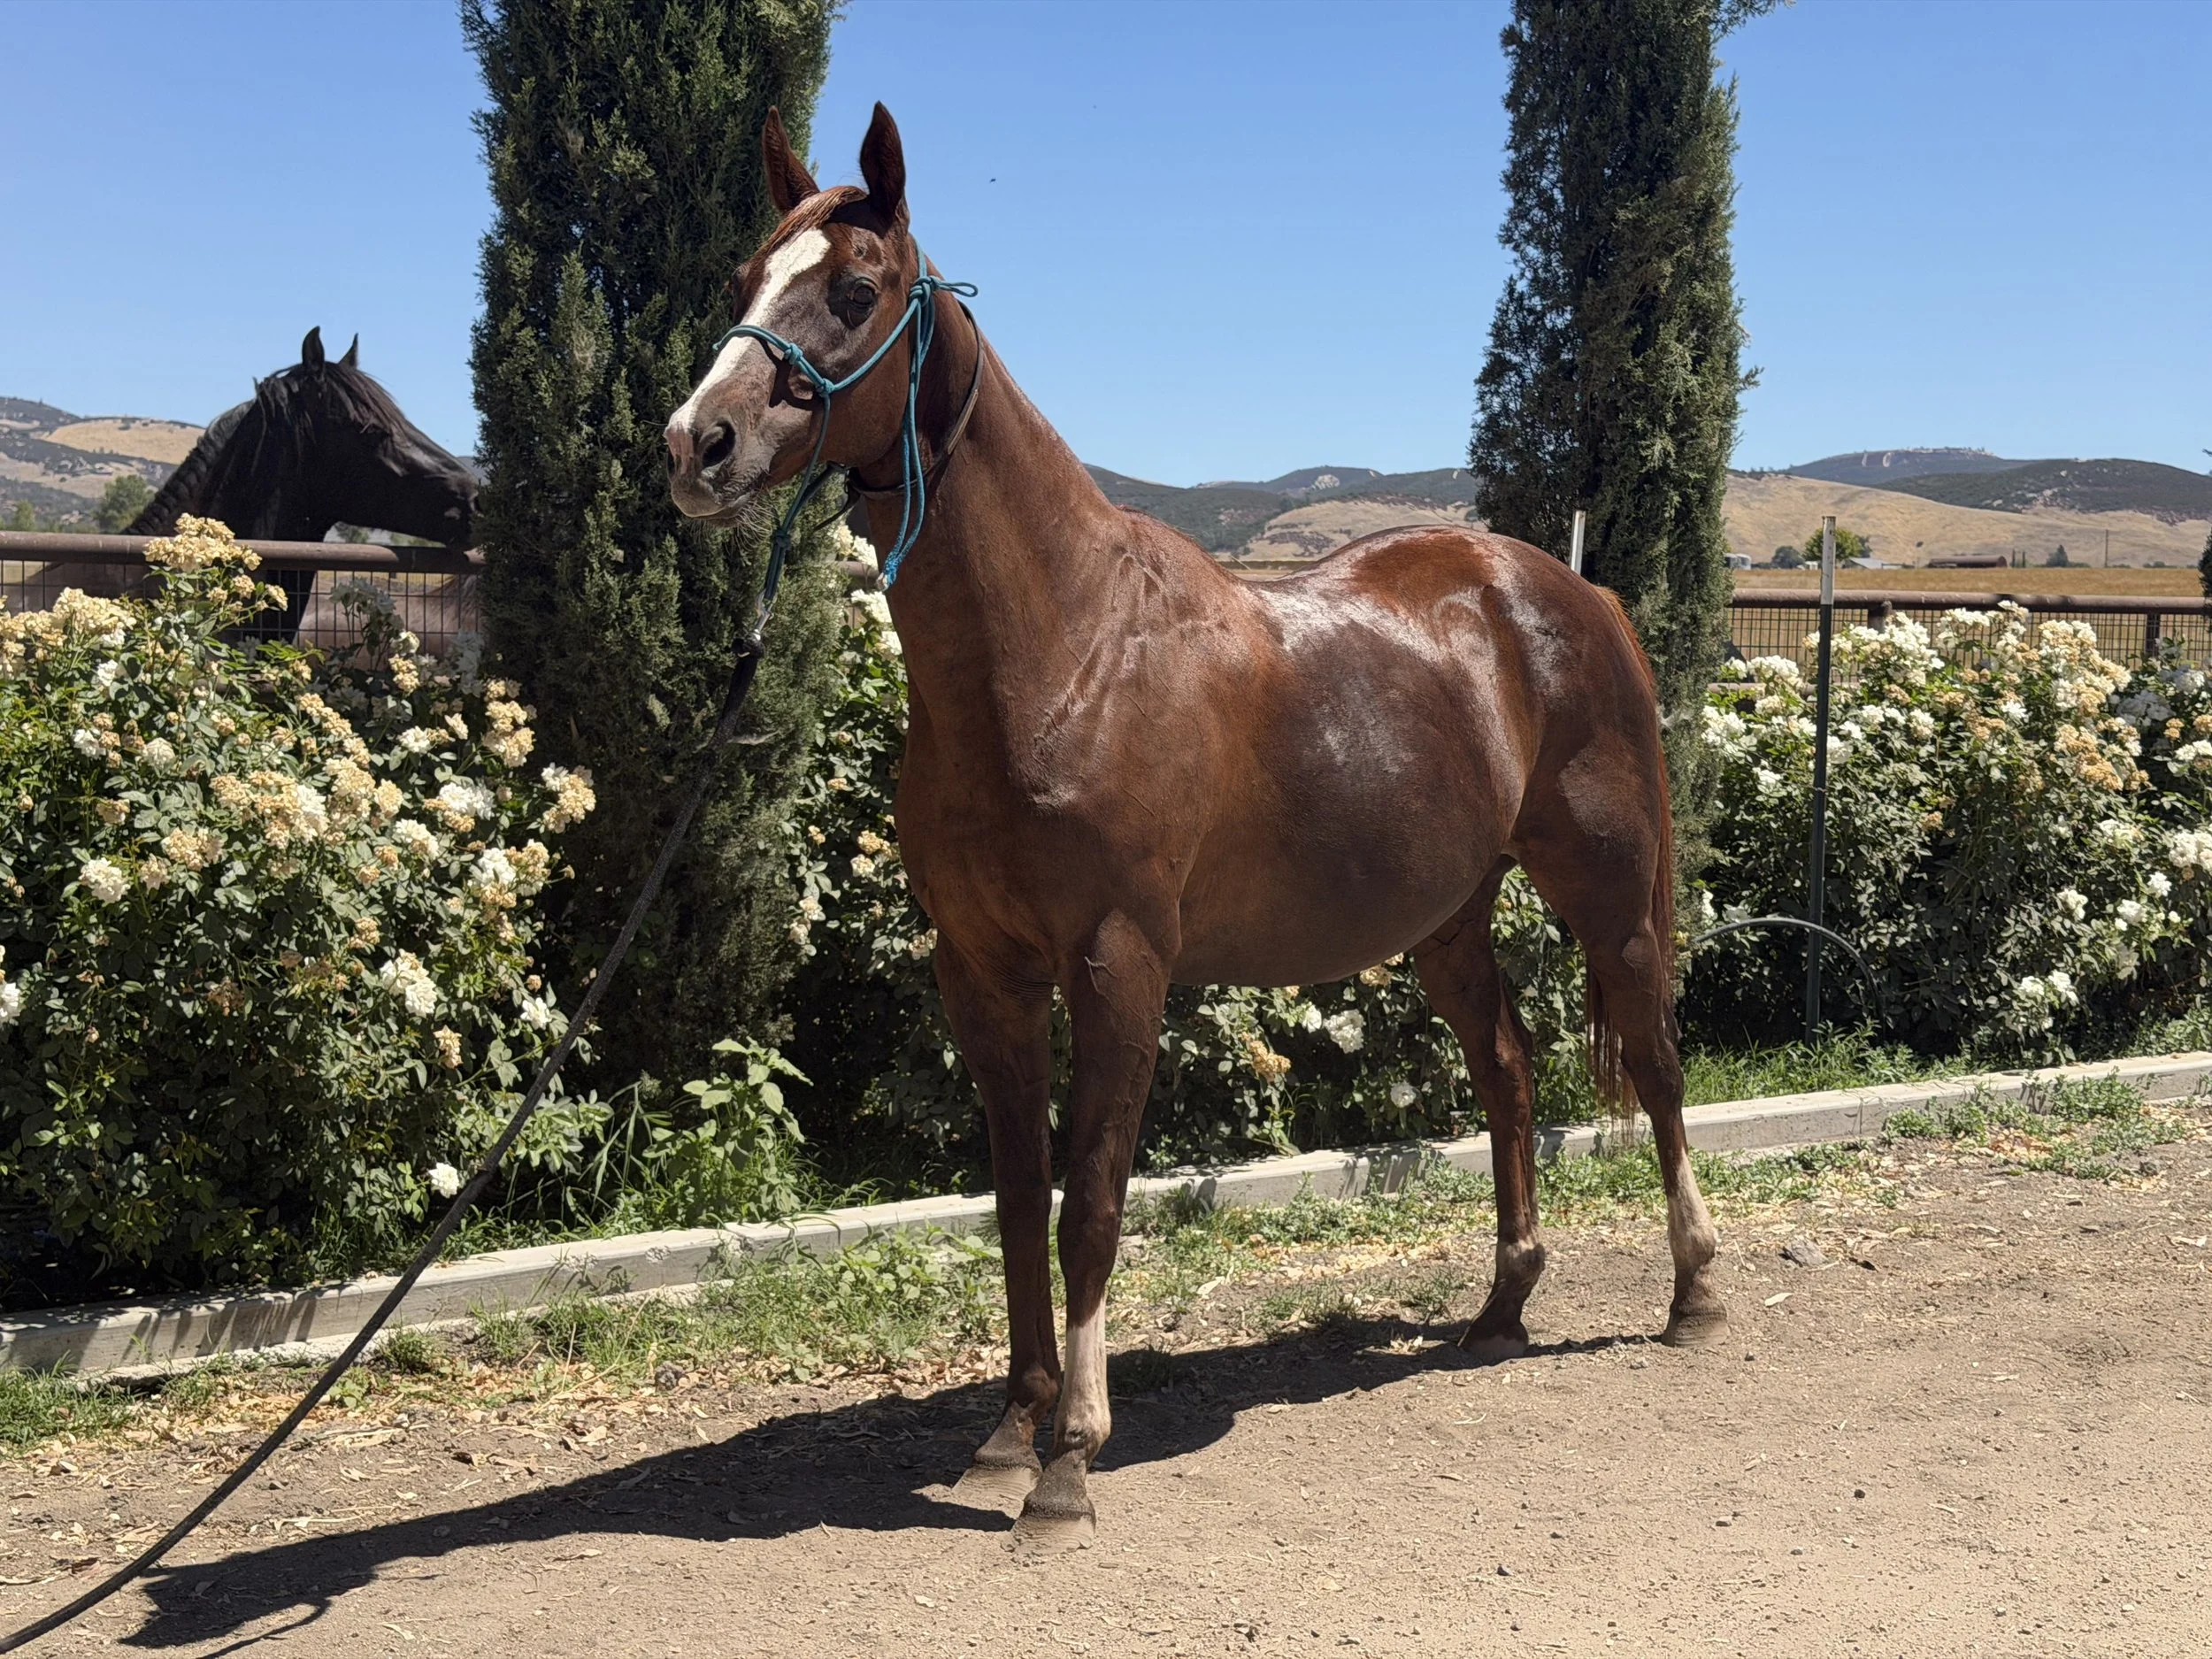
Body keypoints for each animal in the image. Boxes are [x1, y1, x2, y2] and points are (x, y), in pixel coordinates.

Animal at [665, 105, 1728, 1546]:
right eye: (744, 279)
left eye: (855, 290)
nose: (695, 443)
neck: (1063, 651)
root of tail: (1566, 590)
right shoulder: (982, 973)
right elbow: (1019, 1200)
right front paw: (1006, 1431)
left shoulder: (1122, 966)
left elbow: (1092, 1200)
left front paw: (1068, 1460)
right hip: (1447, 920)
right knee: (1507, 1068)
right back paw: (1502, 1305)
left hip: (1604, 891)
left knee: (1660, 1064)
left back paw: (1694, 1291)